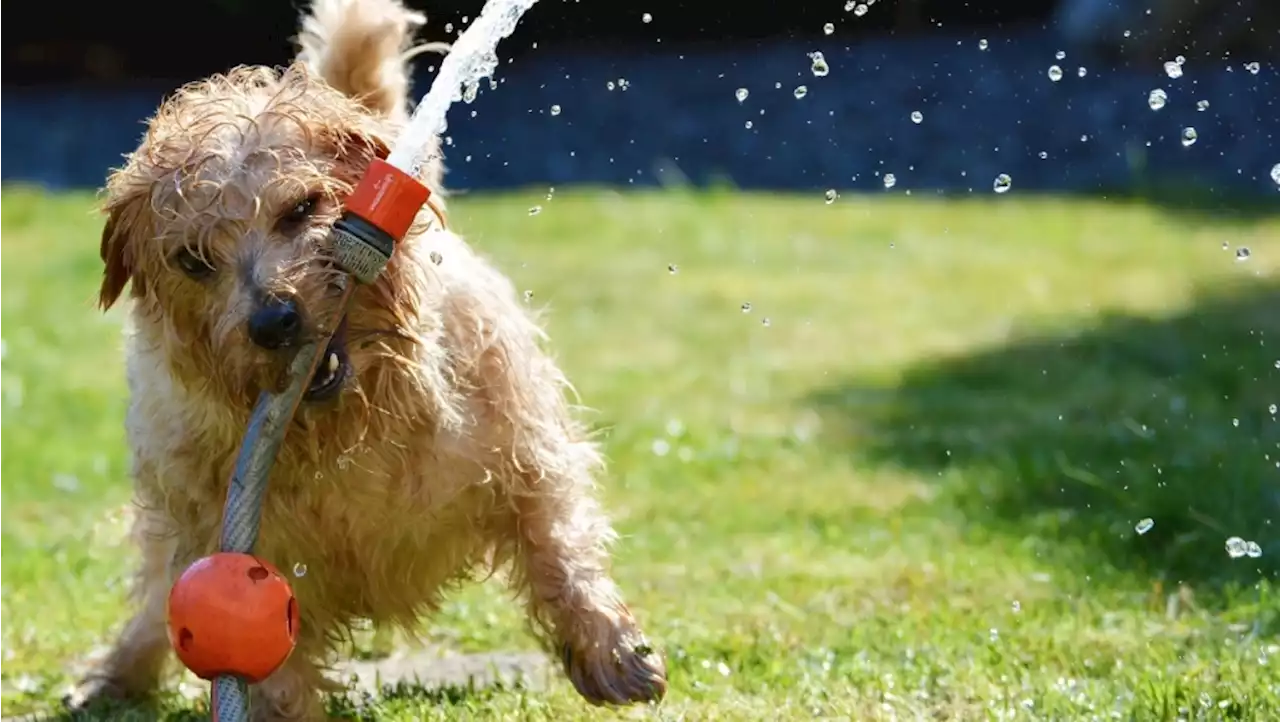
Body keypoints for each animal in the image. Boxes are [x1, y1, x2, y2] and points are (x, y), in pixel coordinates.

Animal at [67, 0, 670, 716]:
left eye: (302, 208)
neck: (354, 428)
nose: (274, 321)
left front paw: (610, 649)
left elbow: (557, 541)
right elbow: (269, 663)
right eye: (193, 259)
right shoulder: (240, 546)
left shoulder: (524, 450)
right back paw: (114, 674)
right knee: (155, 595)